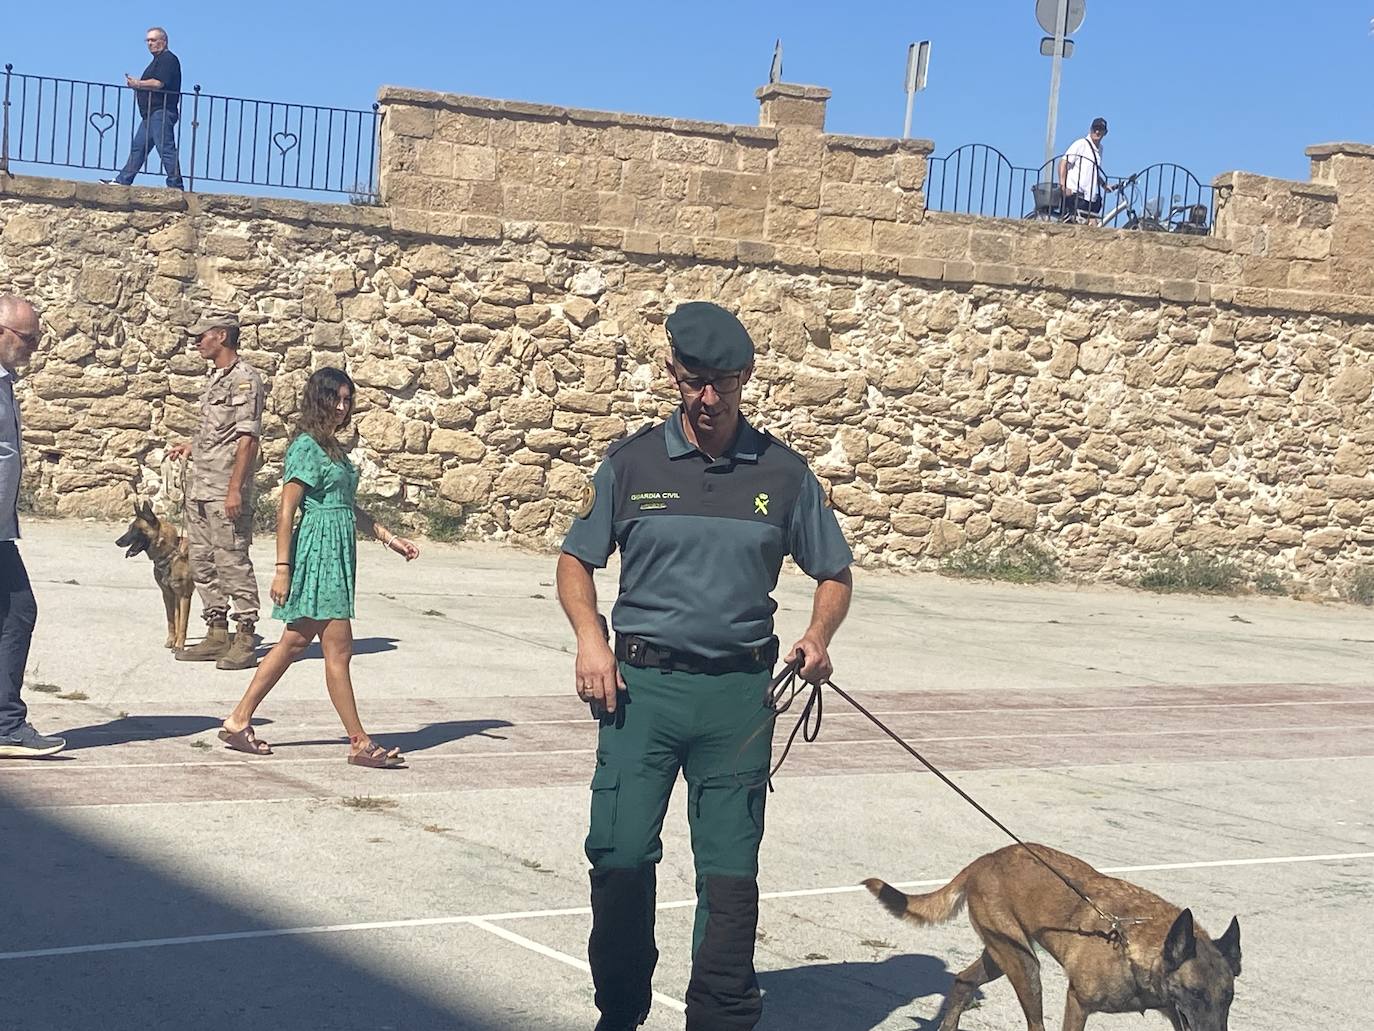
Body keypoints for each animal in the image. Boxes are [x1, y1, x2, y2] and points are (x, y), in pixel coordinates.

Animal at [115, 505, 195, 648]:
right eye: (129, 528)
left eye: (136, 529)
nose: (117, 542)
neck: (170, 554)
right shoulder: (169, 595)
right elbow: (173, 620)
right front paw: (171, 640)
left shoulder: (184, 596)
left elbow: (182, 623)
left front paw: (179, 645)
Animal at [862, 846, 1242, 1031]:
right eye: (1195, 993)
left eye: (1228, 998)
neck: (1133, 950)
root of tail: (985, 860)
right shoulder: (1077, 1004)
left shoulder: (1177, 1016)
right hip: (1025, 967)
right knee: (1034, 1022)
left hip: (1000, 957)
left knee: (961, 981)